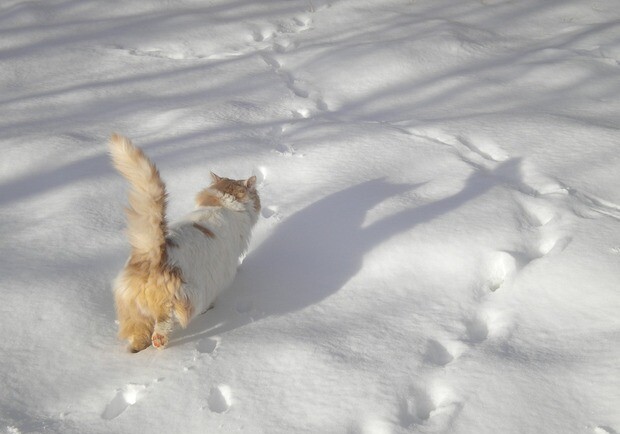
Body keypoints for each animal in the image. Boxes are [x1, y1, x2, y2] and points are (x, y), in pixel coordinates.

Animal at [109, 134, 260, 350]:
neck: (223, 204)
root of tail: (152, 254)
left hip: (134, 313)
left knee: (138, 335)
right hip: (185, 298)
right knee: (163, 326)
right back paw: (160, 340)